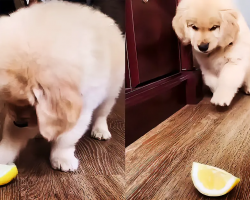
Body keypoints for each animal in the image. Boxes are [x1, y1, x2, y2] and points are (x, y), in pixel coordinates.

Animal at [0, 0, 124, 171]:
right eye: (6, 101)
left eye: (31, 104)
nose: (19, 123)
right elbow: (10, 138)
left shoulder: (80, 110)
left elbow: (65, 139)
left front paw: (61, 159)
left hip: (111, 92)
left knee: (101, 114)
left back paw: (100, 130)